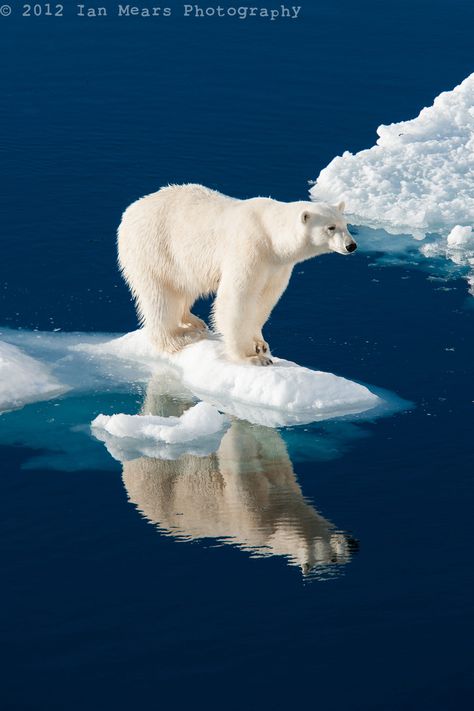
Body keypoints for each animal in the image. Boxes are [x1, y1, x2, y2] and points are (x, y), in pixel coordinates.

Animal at [117, 184, 356, 364]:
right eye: (330, 227)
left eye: (346, 224)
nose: (351, 246)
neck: (270, 236)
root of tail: (130, 211)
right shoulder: (250, 249)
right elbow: (237, 298)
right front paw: (252, 357)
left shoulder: (277, 266)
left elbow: (265, 299)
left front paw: (260, 344)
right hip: (154, 248)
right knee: (161, 296)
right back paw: (180, 338)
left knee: (186, 286)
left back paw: (193, 321)